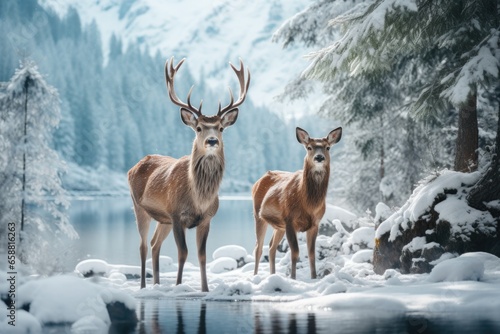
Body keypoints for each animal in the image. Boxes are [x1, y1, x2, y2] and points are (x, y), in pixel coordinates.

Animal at [129, 56, 250, 290]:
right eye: (199, 128)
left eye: (221, 128)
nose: (211, 141)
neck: (199, 198)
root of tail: (134, 166)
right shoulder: (177, 215)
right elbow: (183, 253)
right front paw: (178, 286)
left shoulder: (206, 219)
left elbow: (202, 255)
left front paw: (205, 289)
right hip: (139, 207)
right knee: (143, 245)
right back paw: (143, 286)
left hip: (163, 219)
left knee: (155, 243)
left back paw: (157, 284)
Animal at [254, 126, 340, 280]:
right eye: (309, 147)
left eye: (328, 147)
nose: (319, 157)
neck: (309, 204)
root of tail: (257, 182)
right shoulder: (289, 220)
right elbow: (295, 252)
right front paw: (293, 278)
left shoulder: (315, 223)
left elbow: (311, 254)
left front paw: (313, 277)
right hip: (258, 215)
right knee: (258, 248)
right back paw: (255, 276)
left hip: (279, 226)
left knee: (271, 247)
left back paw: (273, 275)